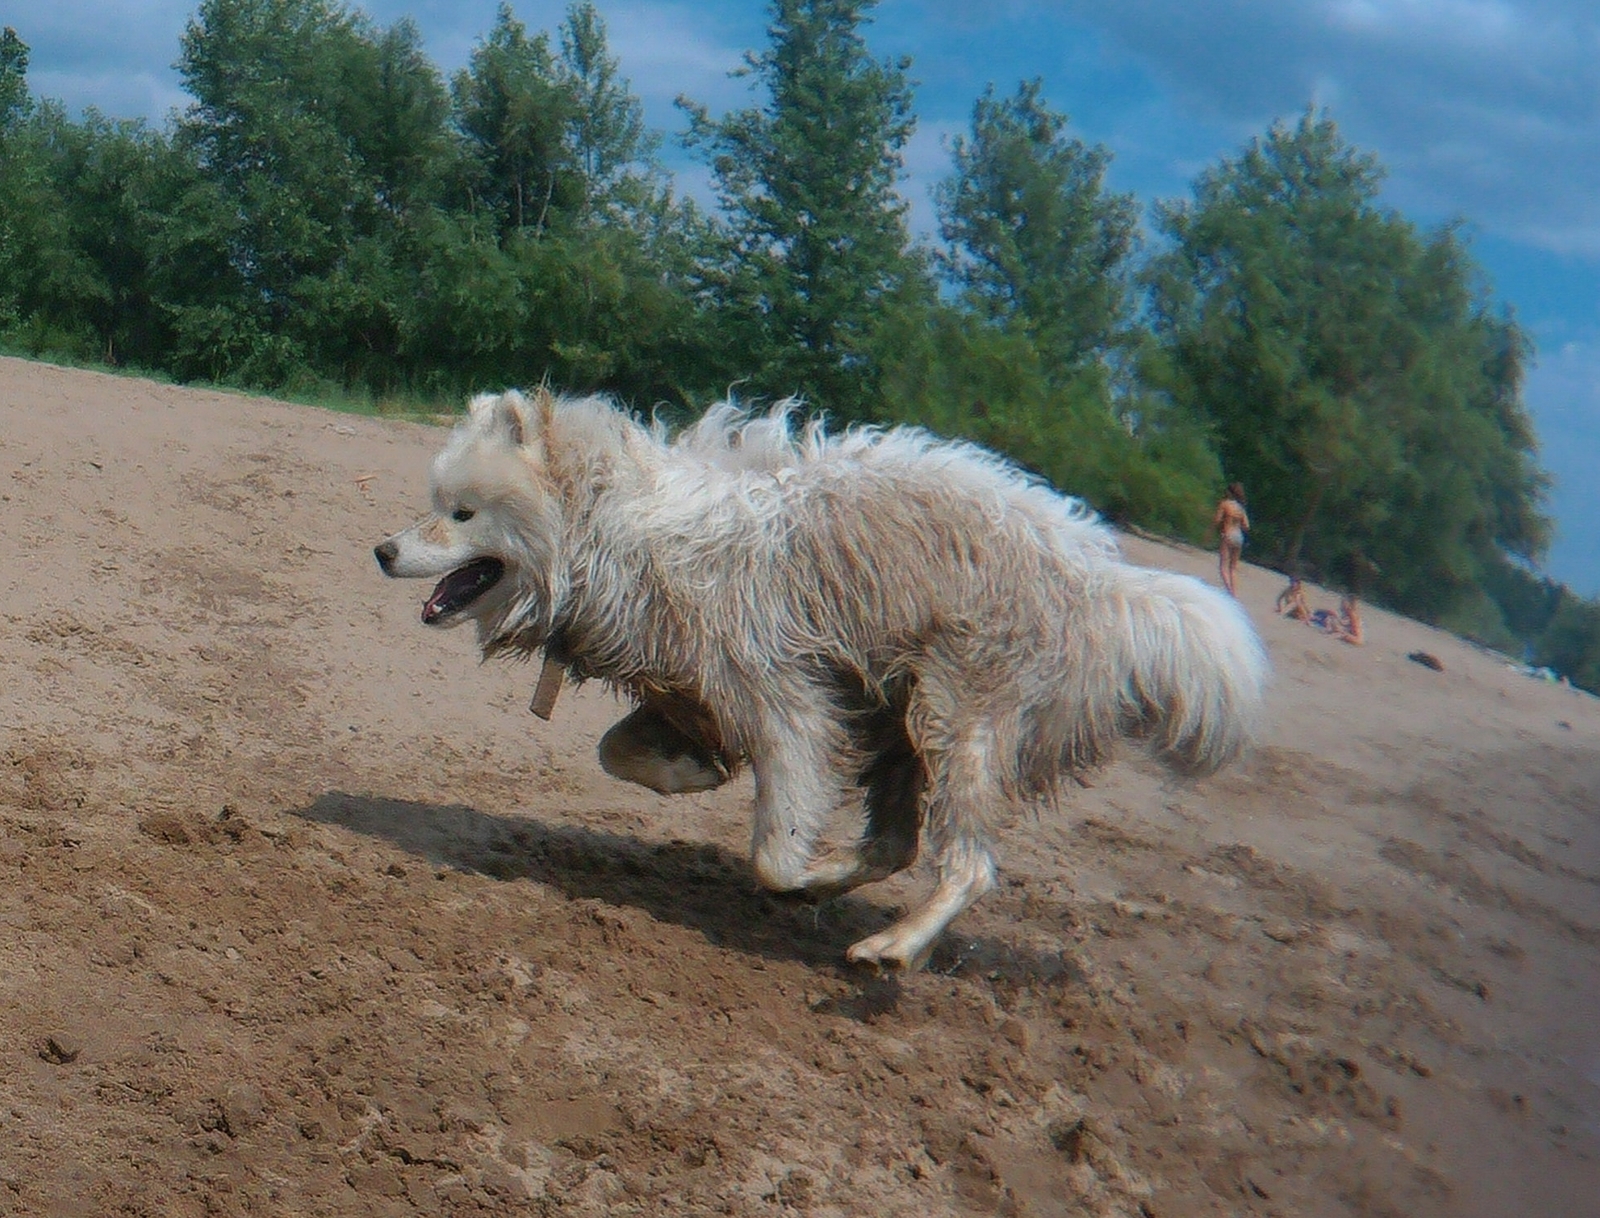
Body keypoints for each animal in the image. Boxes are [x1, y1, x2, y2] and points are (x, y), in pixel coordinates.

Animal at [377, 388, 1273, 966]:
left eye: (462, 514)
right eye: (435, 502)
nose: (383, 549)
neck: (614, 532)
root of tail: (1105, 587)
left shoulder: (785, 697)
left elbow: (775, 843)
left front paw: (793, 868)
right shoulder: (690, 690)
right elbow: (620, 754)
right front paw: (694, 774)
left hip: (959, 712)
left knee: (967, 864)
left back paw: (892, 943)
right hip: (901, 725)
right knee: (897, 842)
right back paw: (844, 885)